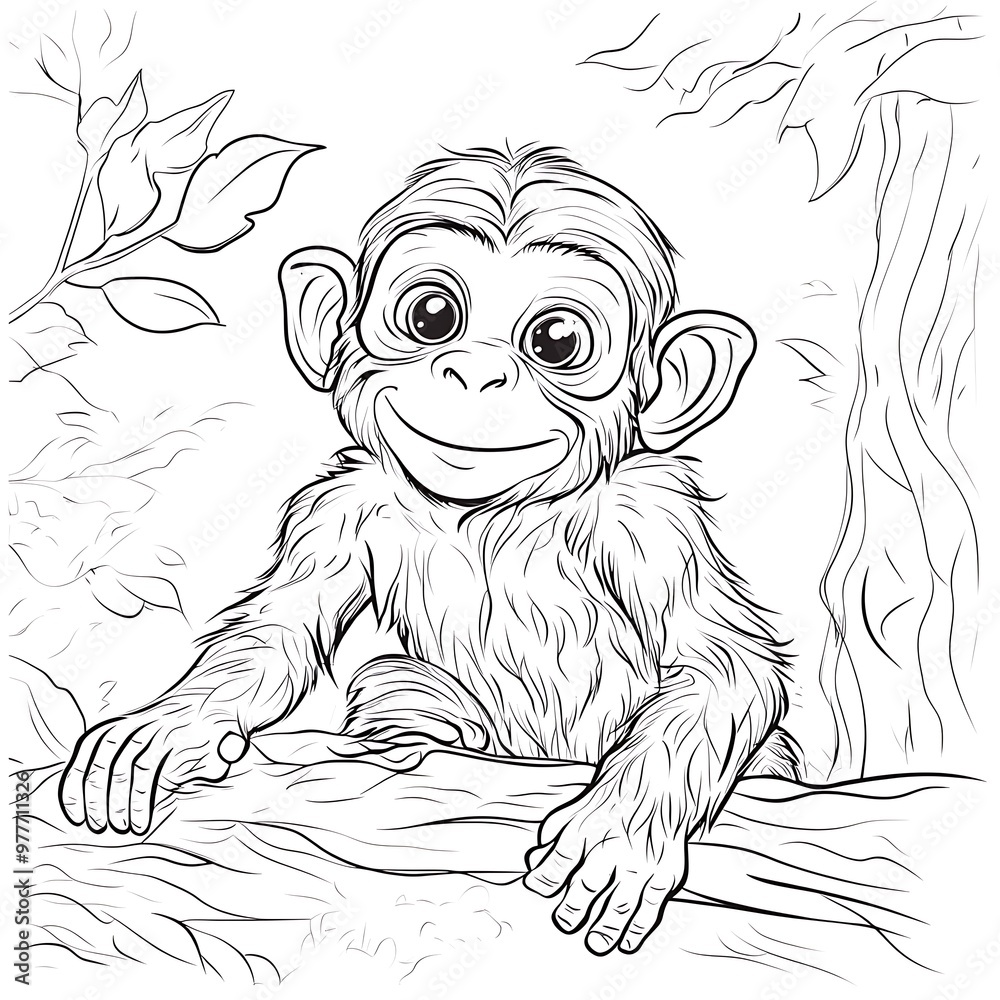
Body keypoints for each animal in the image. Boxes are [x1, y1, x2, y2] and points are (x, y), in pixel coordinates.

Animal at [60, 143, 800, 956]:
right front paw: (177, 721)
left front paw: (623, 823)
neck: (491, 519)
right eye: (432, 316)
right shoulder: (339, 509)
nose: (477, 372)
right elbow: (277, 632)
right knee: (396, 682)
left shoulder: (651, 524)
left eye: (556, 342)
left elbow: (722, 666)